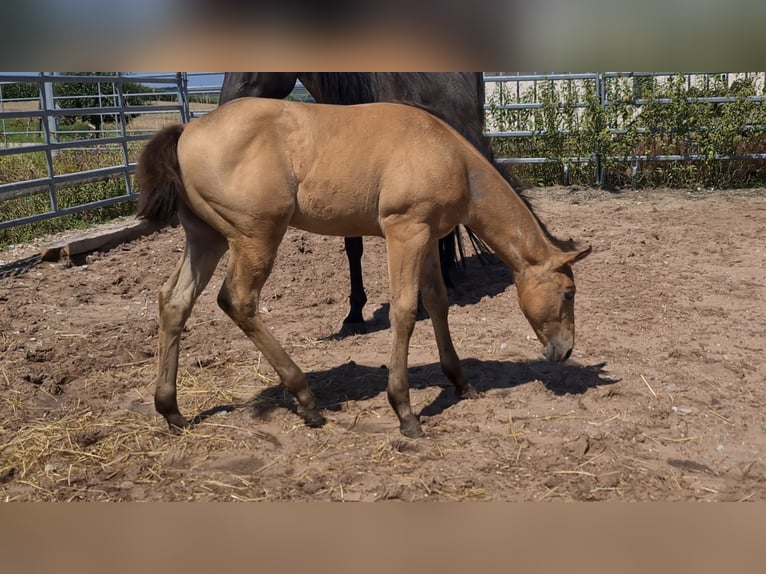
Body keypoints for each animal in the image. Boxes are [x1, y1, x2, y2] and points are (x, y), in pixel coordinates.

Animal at [138, 100, 592, 440]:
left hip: (207, 238)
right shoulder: (405, 231)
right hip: (257, 236)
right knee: (238, 300)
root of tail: (188, 130)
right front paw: (405, 411)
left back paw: (171, 410)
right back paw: (306, 400)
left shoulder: (428, 238)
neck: (453, 157)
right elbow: (405, 311)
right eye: (568, 293)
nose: (565, 350)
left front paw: (462, 383)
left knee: (174, 301)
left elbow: (438, 302)